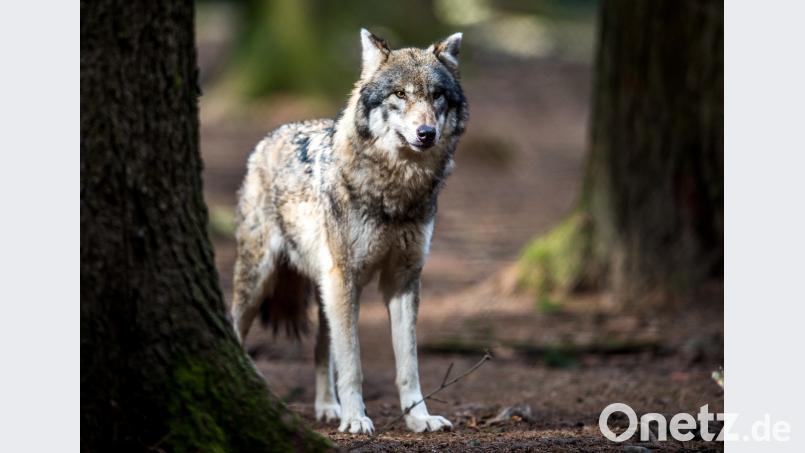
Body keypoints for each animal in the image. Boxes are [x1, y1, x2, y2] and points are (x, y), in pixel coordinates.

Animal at [230, 29, 468, 434]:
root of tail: (271, 135)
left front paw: (418, 418)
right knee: (235, 328)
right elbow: (353, 363)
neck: (395, 192)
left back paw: (329, 408)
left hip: (325, 289)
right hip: (261, 280)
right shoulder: (346, 278)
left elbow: (408, 364)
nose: (426, 133)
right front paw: (357, 418)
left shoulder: (403, 280)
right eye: (400, 94)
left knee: (320, 350)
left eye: (436, 95)